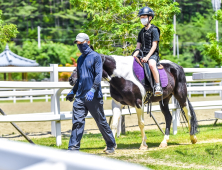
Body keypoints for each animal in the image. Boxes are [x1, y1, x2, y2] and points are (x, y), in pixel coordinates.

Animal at [69, 54, 198, 149]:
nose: (71, 79)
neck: (121, 76)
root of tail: (178, 66)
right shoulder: (117, 104)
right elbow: (114, 124)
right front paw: (111, 146)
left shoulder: (138, 103)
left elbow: (141, 123)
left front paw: (143, 145)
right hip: (165, 100)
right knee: (168, 117)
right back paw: (164, 142)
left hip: (181, 95)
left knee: (189, 114)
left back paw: (193, 138)